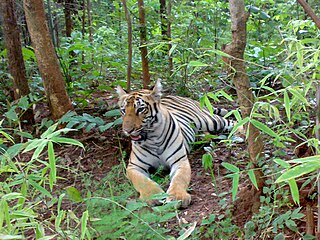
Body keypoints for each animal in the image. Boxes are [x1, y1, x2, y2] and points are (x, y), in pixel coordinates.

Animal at [116, 80, 236, 208]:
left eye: (140, 109)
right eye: (123, 110)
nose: (127, 130)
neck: (152, 138)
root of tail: (179, 96)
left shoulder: (180, 161)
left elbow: (179, 179)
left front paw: (177, 197)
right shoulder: (133, 166)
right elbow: (142, 181)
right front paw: (154, 196)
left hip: (210, 120)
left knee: (233, 122)